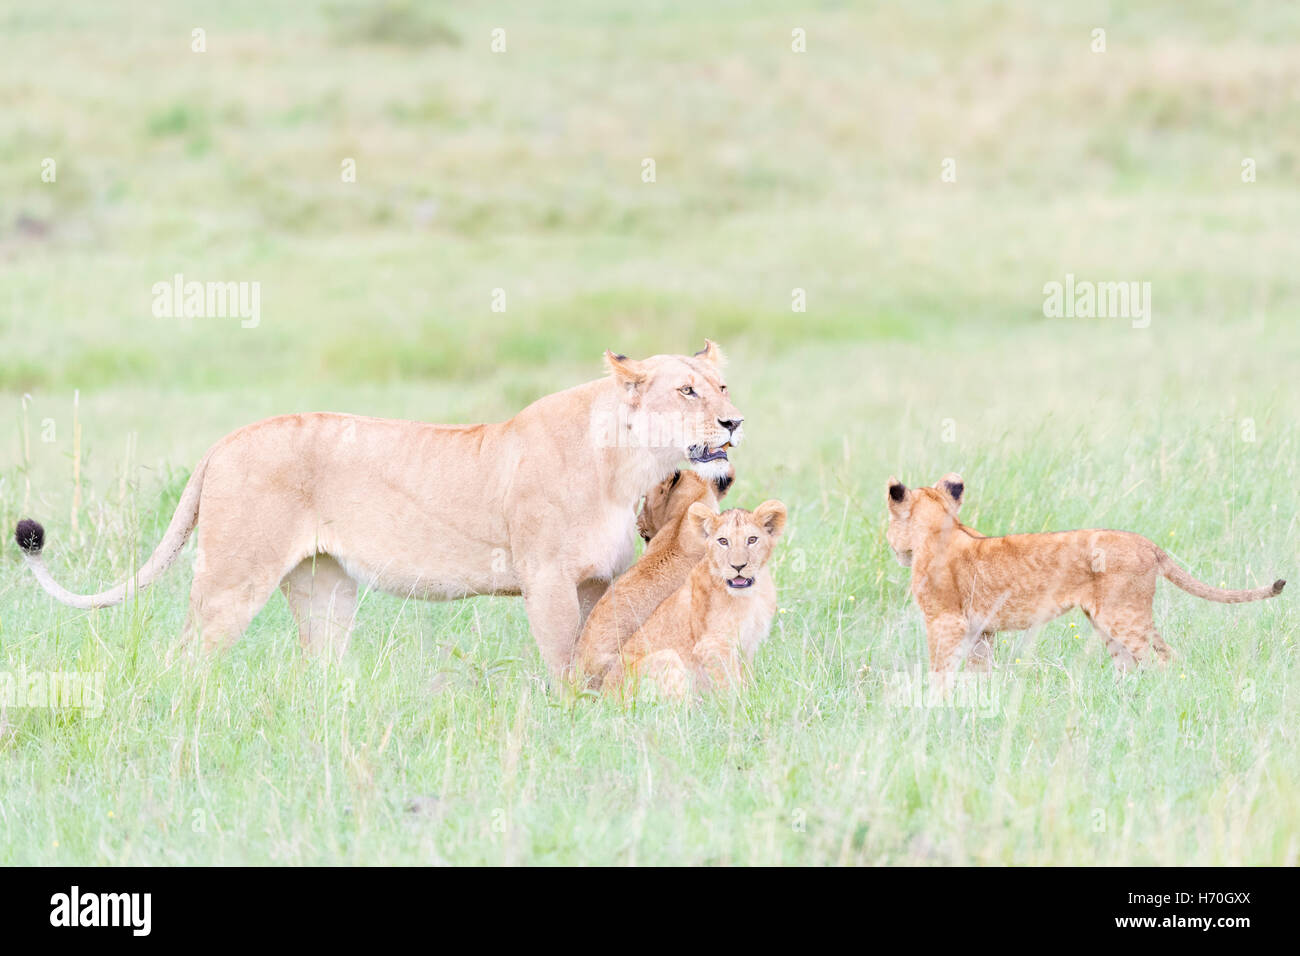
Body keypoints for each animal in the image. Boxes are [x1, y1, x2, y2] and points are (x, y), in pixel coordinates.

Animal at [602, 500, 787, 700]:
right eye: (723, 541)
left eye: (752, 540)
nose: (738, 566)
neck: (752, 595)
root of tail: (605, 696)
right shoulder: (712, 645)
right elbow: (731, 687)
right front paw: (740, 704)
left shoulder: (748, 646)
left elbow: (746, 678)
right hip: (668, 657)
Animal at [885, 473, 1286, 672]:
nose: (891, 545)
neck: (940, 530)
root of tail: (1147, 542)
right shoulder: (980, 630)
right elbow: (977, 671)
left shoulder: (945, 622)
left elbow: (940, 669)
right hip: (1110, 621)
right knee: (1137, 663)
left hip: (1122, 617)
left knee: (1162, 661)